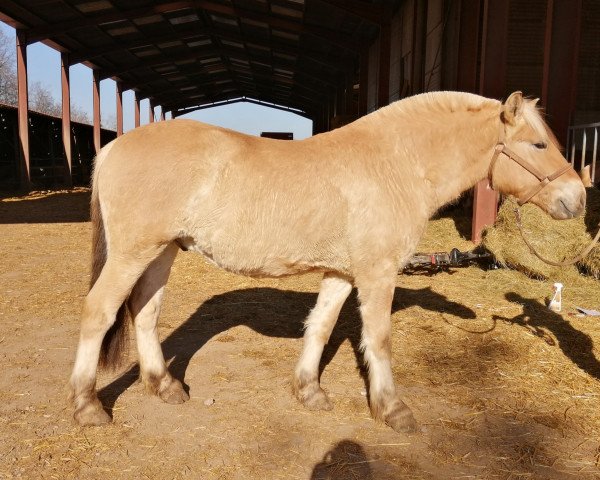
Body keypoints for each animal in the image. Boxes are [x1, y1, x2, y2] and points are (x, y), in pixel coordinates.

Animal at [69, 90, 584, 432]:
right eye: (538, 145)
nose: (577, 199)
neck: (394, 164)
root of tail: (112, 146)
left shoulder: (341, 272)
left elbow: (319, 326)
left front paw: (309, 391)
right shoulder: (377, 273)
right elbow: (378, 339)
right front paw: (392, 409)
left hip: (161, 251)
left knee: (145, 313)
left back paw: (164, 385)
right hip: (133, 253)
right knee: (98, 313)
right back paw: (88, 406)